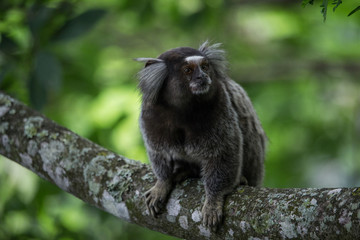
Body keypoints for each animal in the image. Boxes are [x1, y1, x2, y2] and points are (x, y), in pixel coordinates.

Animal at [136, 41, 266, 229]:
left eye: (204, 67)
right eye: (188, 70)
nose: (202, 76)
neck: (182, 111)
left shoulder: (219, 104)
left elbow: (223, 153)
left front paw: (213, 201)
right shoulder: (150, 115)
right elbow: (158, 153)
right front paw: (162, 184)